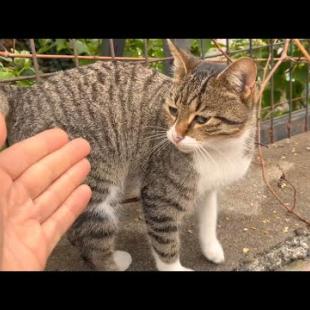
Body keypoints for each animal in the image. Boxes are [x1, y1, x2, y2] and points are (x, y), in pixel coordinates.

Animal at [0, 40, 256, 270]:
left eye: (202, 119)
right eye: (173, 110)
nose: (175, 136)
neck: (217, 150)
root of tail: (23, 95)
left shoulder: (209, 186)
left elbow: (209, 217)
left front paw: (212, 248)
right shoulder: (159, 194)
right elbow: (165, 240)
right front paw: (174, 266)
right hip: (96, 184)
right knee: (93, 236)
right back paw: (112, 261)